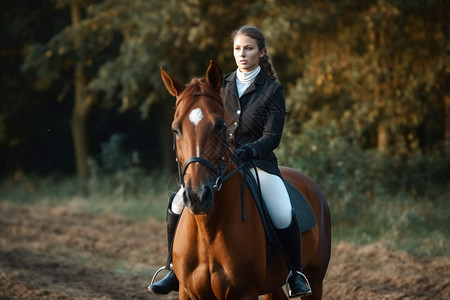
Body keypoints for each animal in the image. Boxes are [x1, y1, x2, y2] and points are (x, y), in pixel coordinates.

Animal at [161, 59, 330, 298]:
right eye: (176, 129)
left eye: (220, 125)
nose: (198, 197)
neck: (208, 229)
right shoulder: (188, 292)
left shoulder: (243, 292)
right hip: (271, 285)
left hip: (315, 279)